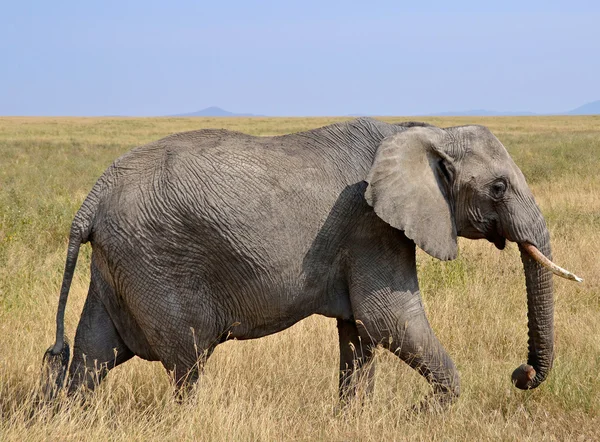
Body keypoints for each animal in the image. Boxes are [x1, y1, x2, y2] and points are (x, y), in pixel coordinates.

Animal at [42, 118, 580, 408]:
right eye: (499, 188)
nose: (520, 374)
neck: (423, 131)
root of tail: (92, 198)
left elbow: (360, 333)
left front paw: (357, 419)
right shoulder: (371, 227)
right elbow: (388, 320)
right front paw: (425, 413)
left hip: (118, 262)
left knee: (91, 359)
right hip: (155, 261)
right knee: (186, 364)